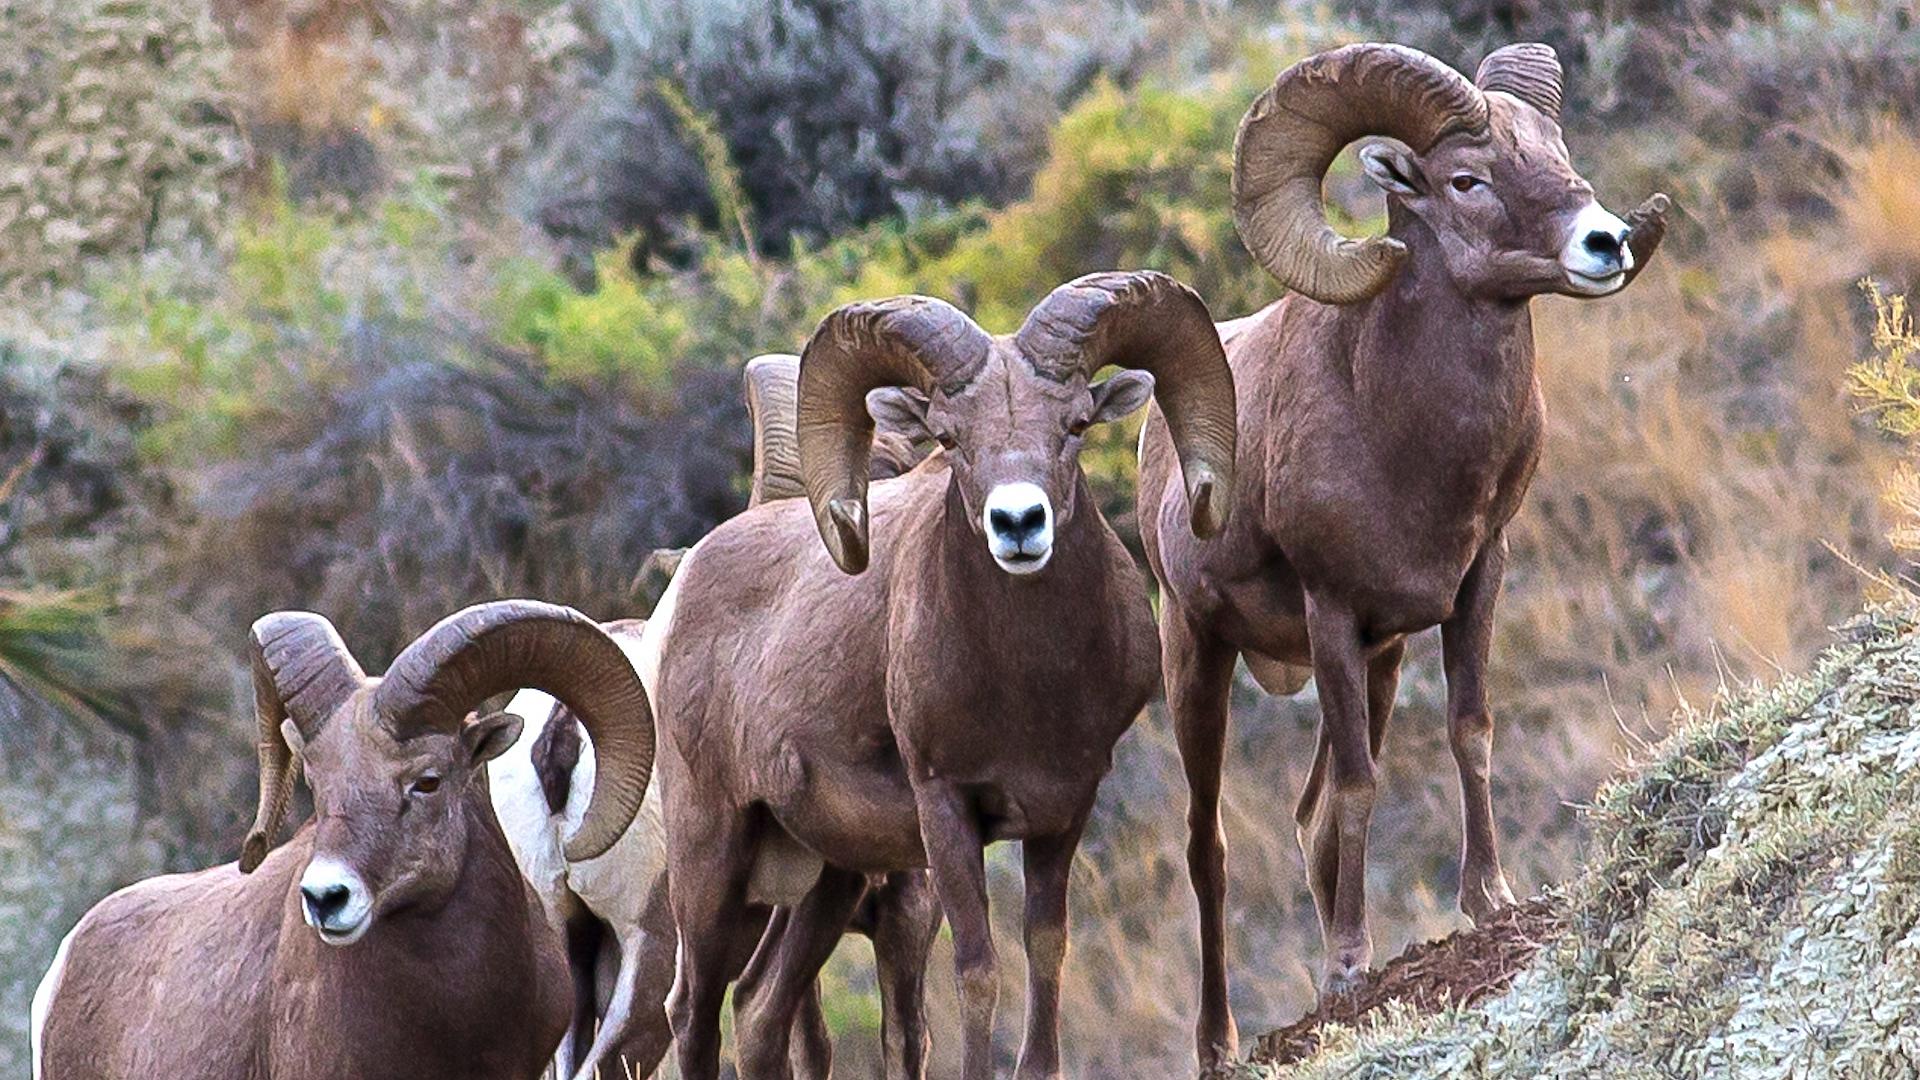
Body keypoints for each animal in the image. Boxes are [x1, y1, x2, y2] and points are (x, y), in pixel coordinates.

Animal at [639, 269, 1239, 1080]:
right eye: (950, 438)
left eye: (1076, 424)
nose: (1018, 524)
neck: (1026, 690)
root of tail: (684, 585)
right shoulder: (945, 809)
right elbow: (977, 969)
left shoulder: (1064, 807)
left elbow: (1045, 950)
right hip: (714, 858)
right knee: (693, 1011)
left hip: (832, 874)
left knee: (761, 1009)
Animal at [1134, 42, 1670, 1064]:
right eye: (1466, 180)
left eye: (1557, 151)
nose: (1607, 244)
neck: (1401, 439)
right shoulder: (1332, 613)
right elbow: (1359, 786)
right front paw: (1348, 969)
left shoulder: (1473, 581)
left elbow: (1468, 731)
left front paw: (1487, 899)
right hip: (1201, 657)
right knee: (1207, 847)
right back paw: (1221, 1040)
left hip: (1378, 665)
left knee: (1306, 820)